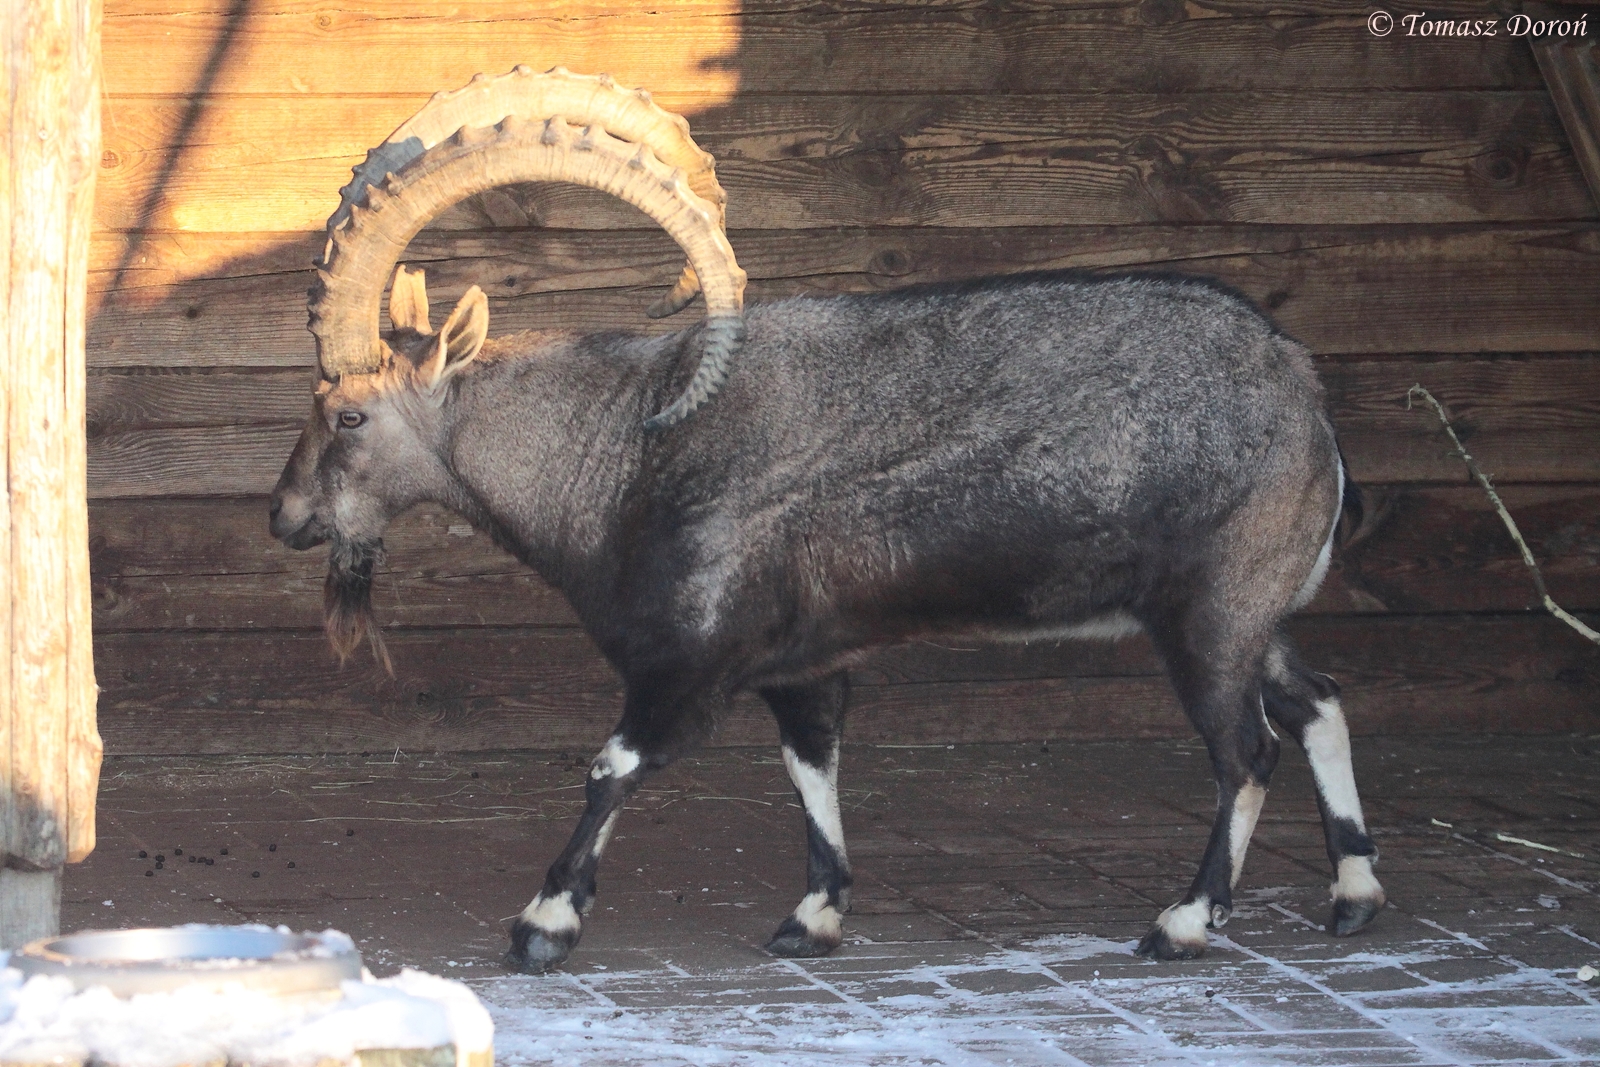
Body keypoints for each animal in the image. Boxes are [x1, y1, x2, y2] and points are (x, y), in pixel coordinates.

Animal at [269, 69, 1385, 973]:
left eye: (351, 413)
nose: (284, 516)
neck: (621, 449)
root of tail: (1308, 398)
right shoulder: (798, 664)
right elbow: (812, 764)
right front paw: (813, 915)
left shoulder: (691, 662)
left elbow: (610, 767)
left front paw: (543, 922)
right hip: (1247, 613)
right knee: (1318, 700)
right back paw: (1355, 894)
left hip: (1209, 615)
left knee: (1248, 749)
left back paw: (1183, 922)